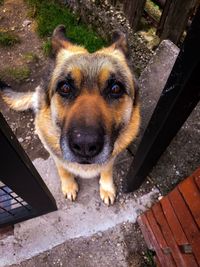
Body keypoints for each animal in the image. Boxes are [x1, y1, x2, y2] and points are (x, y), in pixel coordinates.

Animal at [0, 25, 141, 205]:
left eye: (116, 89)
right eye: (65, 87)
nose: (85, 145)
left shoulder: (111, 157)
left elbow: (107, 169)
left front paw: (107, 187)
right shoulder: (56, 155)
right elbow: (63, 169)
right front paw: (69, 186)